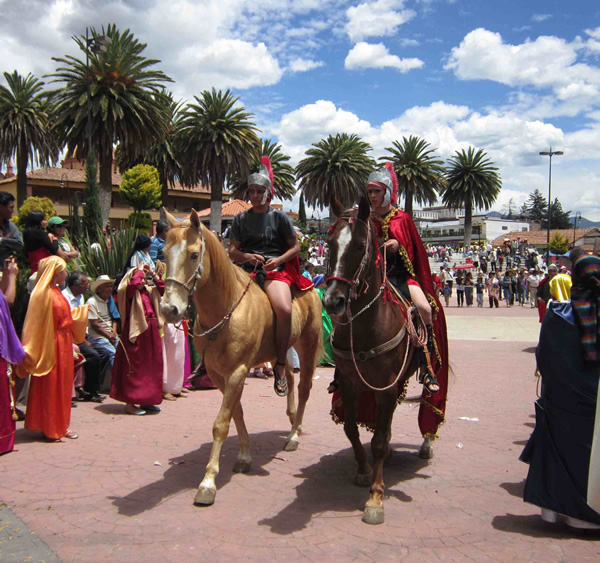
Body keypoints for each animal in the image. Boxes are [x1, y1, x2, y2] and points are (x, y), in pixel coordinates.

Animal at [159, 210, 324, 506]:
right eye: (164, 253)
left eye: (193, 254)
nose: (169, 309)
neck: (226, 308)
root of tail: (310, 286)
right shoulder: (218, 375)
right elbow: (237, 413)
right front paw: (244, 456)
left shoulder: (237, 371)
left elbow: (221, 423)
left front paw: (208, 482)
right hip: (286, 348)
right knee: (289, 377)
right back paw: (291, 415)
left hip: (308, 344)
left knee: (305, 387)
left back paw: (294, 434)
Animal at [322, 197, 428, 524]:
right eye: (330, 243)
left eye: (359, 245)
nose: (333, 301)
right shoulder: (351, 383)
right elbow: (351, 428)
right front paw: (363, 469)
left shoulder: (386, 388)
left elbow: (379, 440)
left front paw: (376, 497)